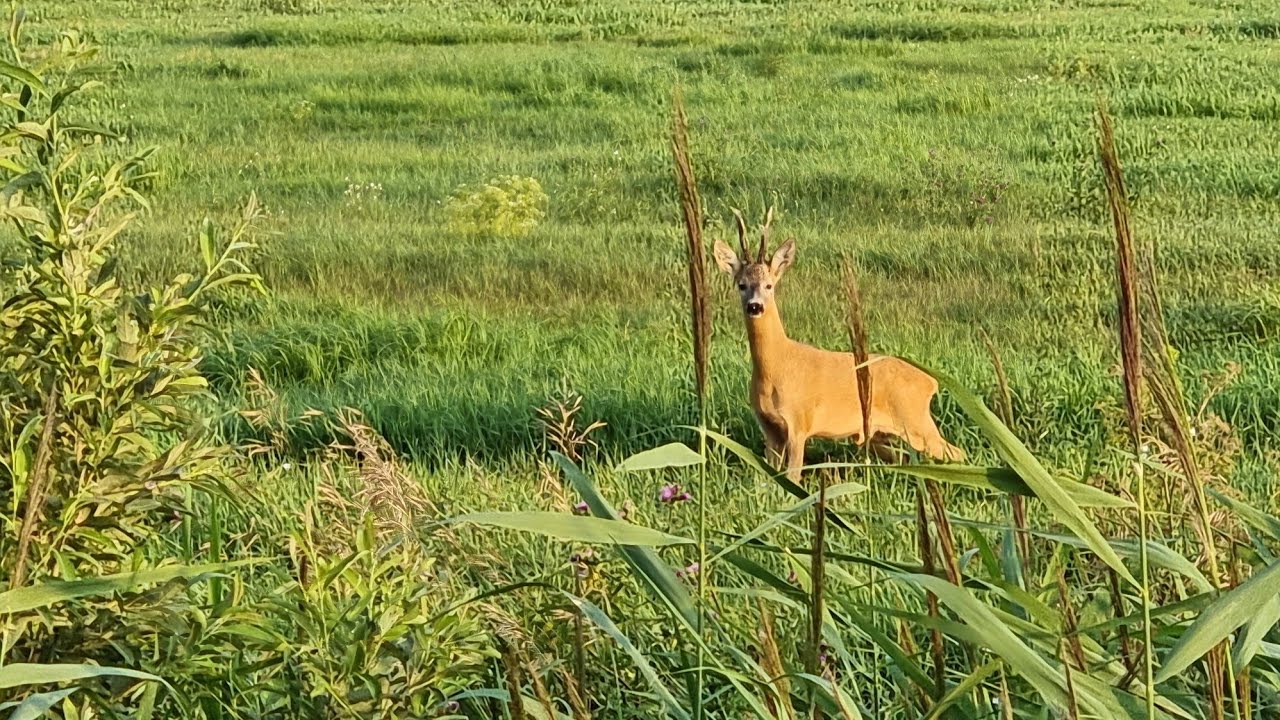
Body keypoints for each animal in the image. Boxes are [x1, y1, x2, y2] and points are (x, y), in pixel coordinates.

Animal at [711, 206, 962, 481]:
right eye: (741, 285)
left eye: (769, 285)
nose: (755, 306)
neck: (776, 366)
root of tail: (930, 381)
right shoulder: (769, 428)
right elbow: (770, 479)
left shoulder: (799, 422)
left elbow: (793, 477)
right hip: (883, 433)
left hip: (914, 419)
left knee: (956, 453)